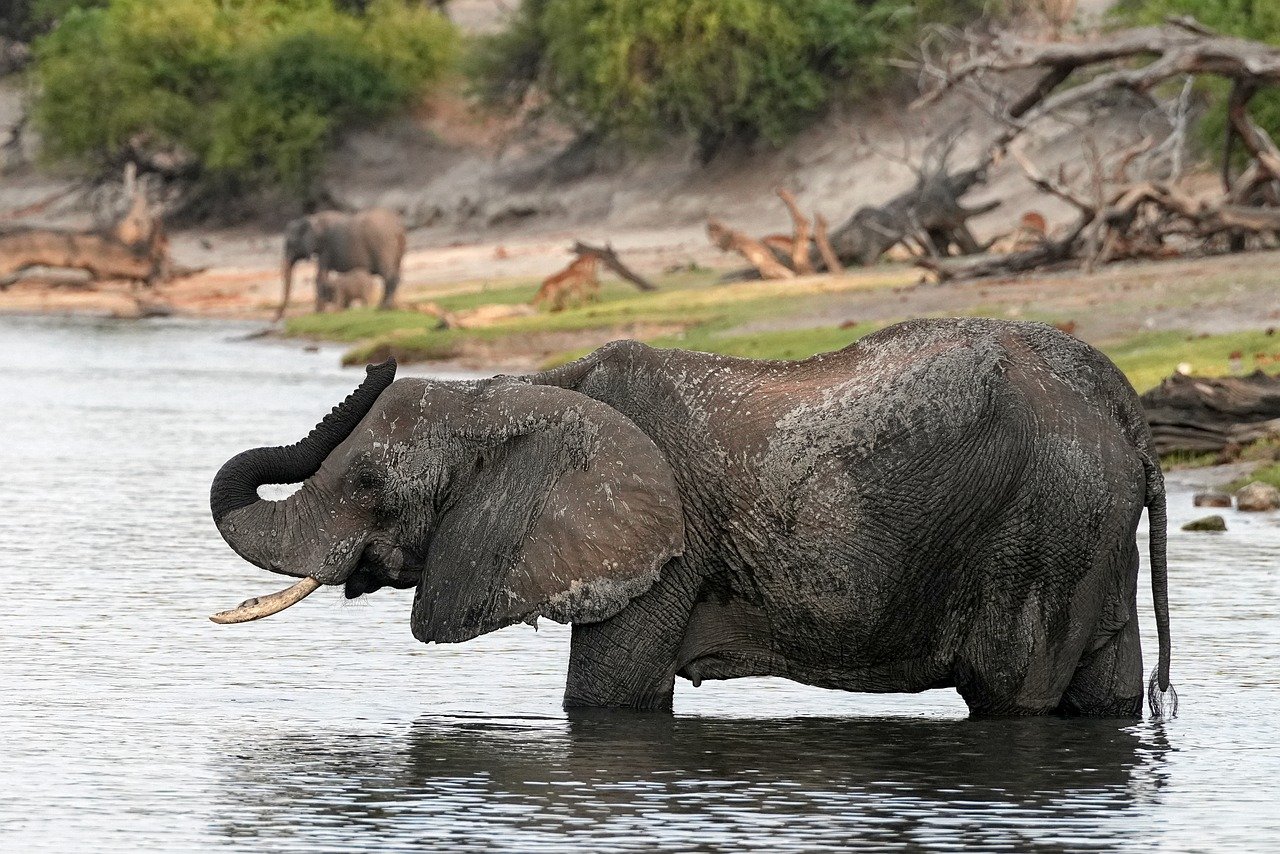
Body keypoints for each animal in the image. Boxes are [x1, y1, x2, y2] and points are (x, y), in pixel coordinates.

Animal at [209, 317, 1175, 718]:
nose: (377, 360)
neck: (525, 385)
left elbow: (609, 697)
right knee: (1104, 692)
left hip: (1041, 530)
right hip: (1088, 531)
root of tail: (1128, 412)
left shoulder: (666, 552)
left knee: (1014, 695)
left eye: (369, 484)